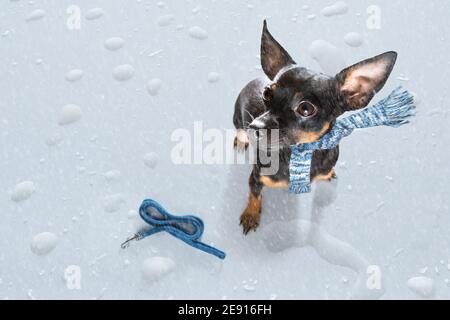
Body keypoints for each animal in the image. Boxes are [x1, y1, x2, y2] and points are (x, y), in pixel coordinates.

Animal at [234, 20, 396, 235]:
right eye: (267, 93)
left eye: (305, 109)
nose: (255, 126)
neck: (299, 155)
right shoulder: (256, 178)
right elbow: (254, 196)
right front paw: (251, 215)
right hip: (238, 120)